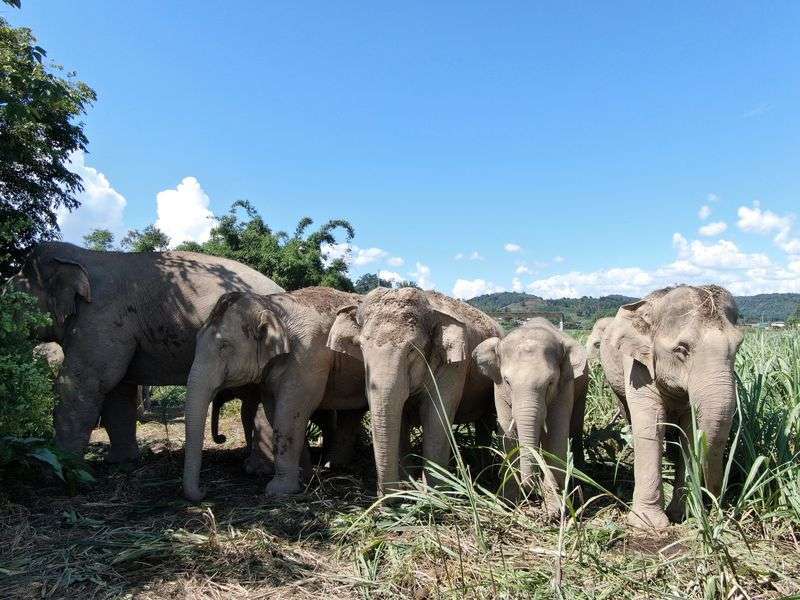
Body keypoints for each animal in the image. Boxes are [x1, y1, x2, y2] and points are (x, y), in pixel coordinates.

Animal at [182, 286, 366, 502]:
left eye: (224, 345)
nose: (204, 492)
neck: (271, 306)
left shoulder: (308, 358)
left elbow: (290, 412)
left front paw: (279, 490)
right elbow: (273, 410)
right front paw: (304, 478)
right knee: (352, 414)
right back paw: (336, 465)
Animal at [324, 288, 500, 494]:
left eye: (411, 350)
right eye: (361, 347)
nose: (387, 498)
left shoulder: (454, 366)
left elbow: (435, 417)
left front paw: (432, 492)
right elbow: (400, 417)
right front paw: (408, 485)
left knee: (486, 422)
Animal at [476, 316, 588, 516]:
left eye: (550, 382)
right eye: (507, 382)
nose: (532, 491)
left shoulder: (564, 386)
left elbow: (556, 435)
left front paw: (554, 512)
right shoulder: (498, 389)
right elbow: (508, 436)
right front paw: (508, 503)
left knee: (575, 427)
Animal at [600, 286, 744, 528]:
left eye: (738, 346)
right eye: (681, 349)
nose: (718, 504)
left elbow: (689, 432)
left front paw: (681, 515)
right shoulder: (638, 366)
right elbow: (650, 425)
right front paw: (648, 524)